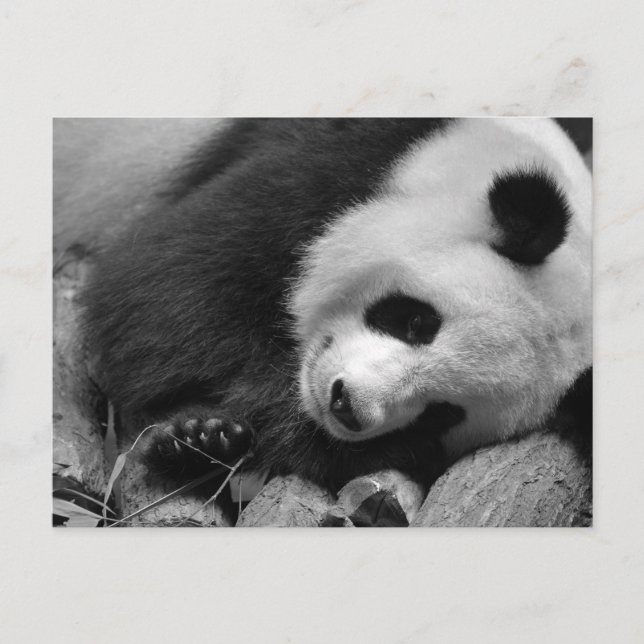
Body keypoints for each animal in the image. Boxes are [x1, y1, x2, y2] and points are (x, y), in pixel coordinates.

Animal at [81, 118, 592, 494]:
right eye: (417, 322)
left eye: (443, 413)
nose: (346, 405)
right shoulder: (345, 162)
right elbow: (172, 286)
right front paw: (206, 431)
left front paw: (213, 439)